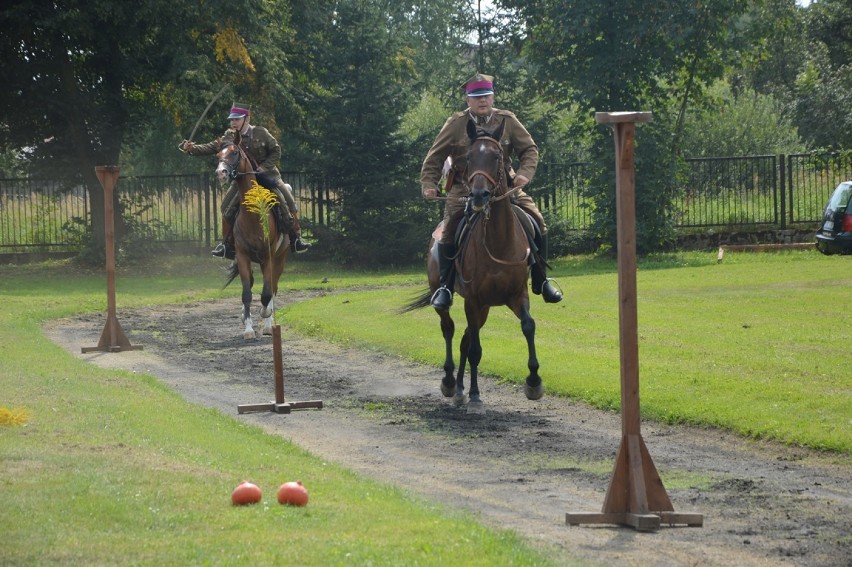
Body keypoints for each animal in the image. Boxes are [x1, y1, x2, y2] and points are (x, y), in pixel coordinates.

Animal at [216, 133, 290, 338]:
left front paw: (265, 315)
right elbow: (246, 293)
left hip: (279, 259)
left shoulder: (268, 257)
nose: (221, 173)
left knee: (272, 288)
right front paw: (248, 328)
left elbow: (266, 293)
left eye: (234, 153)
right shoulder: (242, 256)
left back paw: (268, 324)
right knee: (251, 283)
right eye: (218, 154)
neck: (253, 216)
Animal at [404, 120, 540, 414]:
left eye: (497, 156)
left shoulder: (516, 295)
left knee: (465, 338)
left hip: (485, 308)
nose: (478, 195)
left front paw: (534, 381)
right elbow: (476, 348)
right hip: (455, 301)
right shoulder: (474, 300)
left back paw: (459, 389)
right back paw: (449, 382)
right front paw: (476, 397)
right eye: (468, 157)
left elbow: (528, 326)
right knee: (450, 329)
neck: (499, 242)